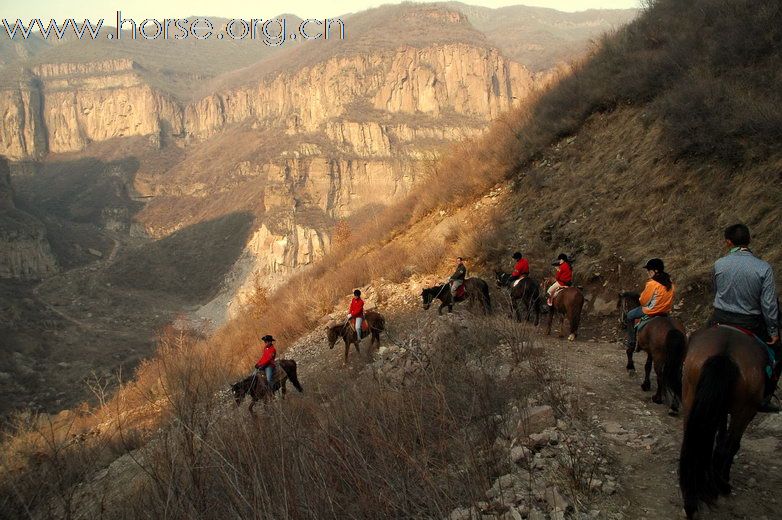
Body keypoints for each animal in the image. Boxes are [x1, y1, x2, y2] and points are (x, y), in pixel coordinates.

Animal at [680, 324, 772, 516]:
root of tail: (725, 352)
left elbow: (719, 435)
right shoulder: (746, 411)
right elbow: (729, 444)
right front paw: (722, 477)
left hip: (690, 393)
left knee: (693, 438)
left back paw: (691, 495)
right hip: (745, 409)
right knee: (729, 446)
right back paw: (720, 485)